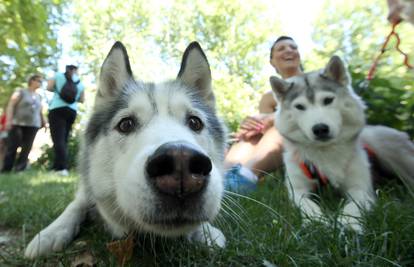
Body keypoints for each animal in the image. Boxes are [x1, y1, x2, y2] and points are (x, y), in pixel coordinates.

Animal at [25, 42, 226, 260]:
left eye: (195, 123)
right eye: (126, 124)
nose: (181, 163)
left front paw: (206, 232)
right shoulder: (85, 190)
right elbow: (75, 205)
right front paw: (50, 233)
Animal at [270, 55, 412, 231]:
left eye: (328, 100)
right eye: (300, 106)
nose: (320, 129)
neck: (326, 153)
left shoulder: (360, 188)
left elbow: (352, 206)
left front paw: (348, 224)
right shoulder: (297, 190)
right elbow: (307, 204)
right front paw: (317, 221)